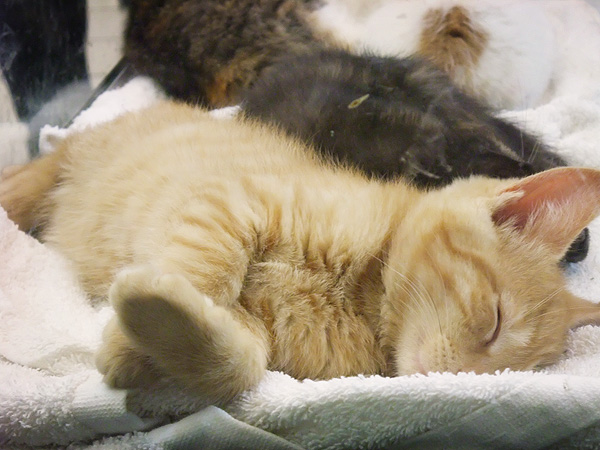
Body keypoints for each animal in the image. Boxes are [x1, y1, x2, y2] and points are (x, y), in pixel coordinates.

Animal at [1, 102, 600, 404]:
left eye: (515, 371)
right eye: (495, 321)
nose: (457, 382)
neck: (360, 303)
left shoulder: (260, 339)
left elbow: (236, 367)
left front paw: (148, 329)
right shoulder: (232, 200)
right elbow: (207, 268)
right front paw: (127, 347)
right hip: (61, 165)